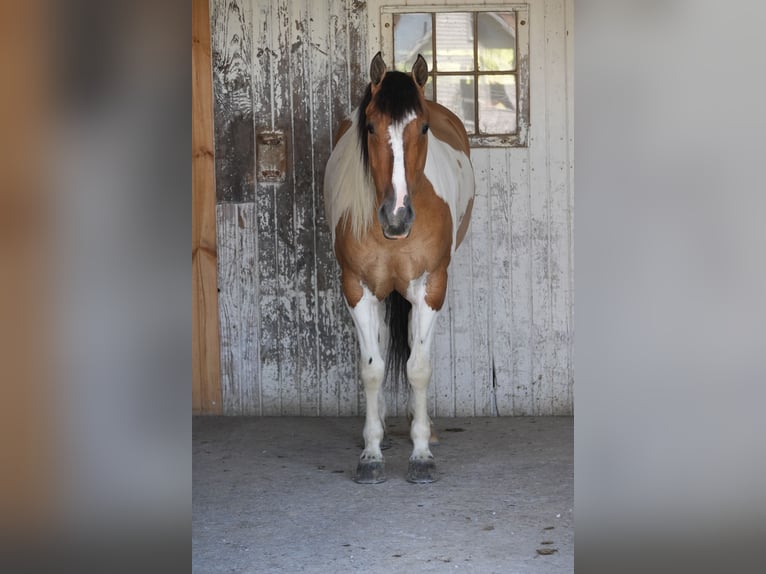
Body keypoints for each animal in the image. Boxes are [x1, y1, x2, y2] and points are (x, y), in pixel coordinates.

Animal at [323, 52, 475, 483]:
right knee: (385, 337)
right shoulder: (357, 287)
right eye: (371, 127)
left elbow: (418, 367)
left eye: (422, 127)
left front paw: (421, 453)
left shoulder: (430, 285)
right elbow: (372, 368)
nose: (396, 216)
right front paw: (372, 453)